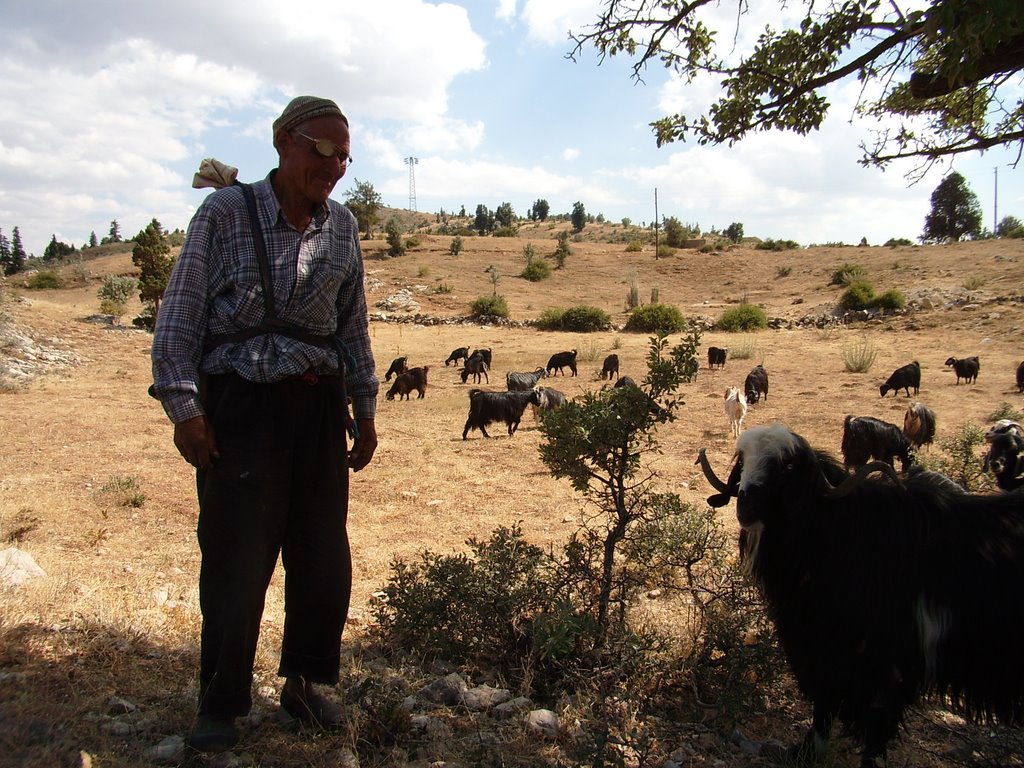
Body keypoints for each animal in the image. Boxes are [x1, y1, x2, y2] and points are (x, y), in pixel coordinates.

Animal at [696, 428, 1024, 768]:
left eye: (787, 465)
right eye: (742, 460)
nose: (745, 507)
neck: (847, 533)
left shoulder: (886, 665)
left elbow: (875, 725)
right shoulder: (823, 648)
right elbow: (823, 703)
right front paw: (806, 752)